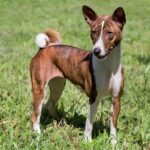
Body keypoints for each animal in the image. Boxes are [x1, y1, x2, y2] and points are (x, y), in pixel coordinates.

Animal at [30, 5, 125, 145]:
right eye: (93, 32)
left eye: (110, 33)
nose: (96, 51)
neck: (108, 66)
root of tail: (44, 48)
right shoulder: (93, 98)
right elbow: (89, 124)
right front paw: (87, 142)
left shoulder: (116, 99)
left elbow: (113, 126)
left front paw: (114, 143)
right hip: (39, 89)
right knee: (35, 116)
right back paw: (38, 136)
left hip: (58, 86)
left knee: (49, 105)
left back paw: (60, 121)